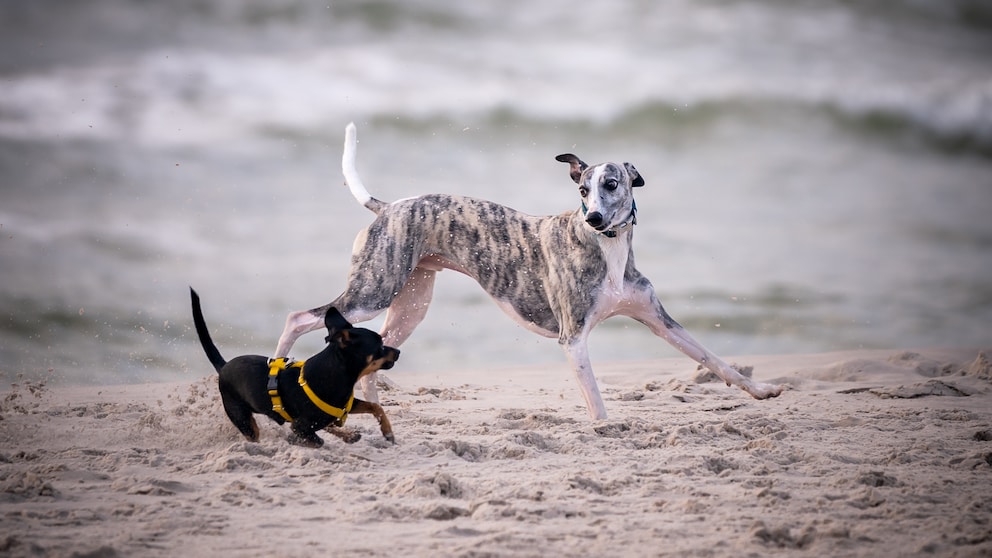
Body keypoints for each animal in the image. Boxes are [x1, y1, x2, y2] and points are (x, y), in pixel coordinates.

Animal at [190, 288, 400, 450]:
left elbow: (376, 407)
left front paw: (387, 432)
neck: (336, 375)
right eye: (380, 347)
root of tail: (224, 366)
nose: (398, 352)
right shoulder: (301, 426)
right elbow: (315, 440)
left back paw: (348, 434)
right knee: (254, 433)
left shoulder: (345, 406)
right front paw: (299, 441)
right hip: (242, 418)